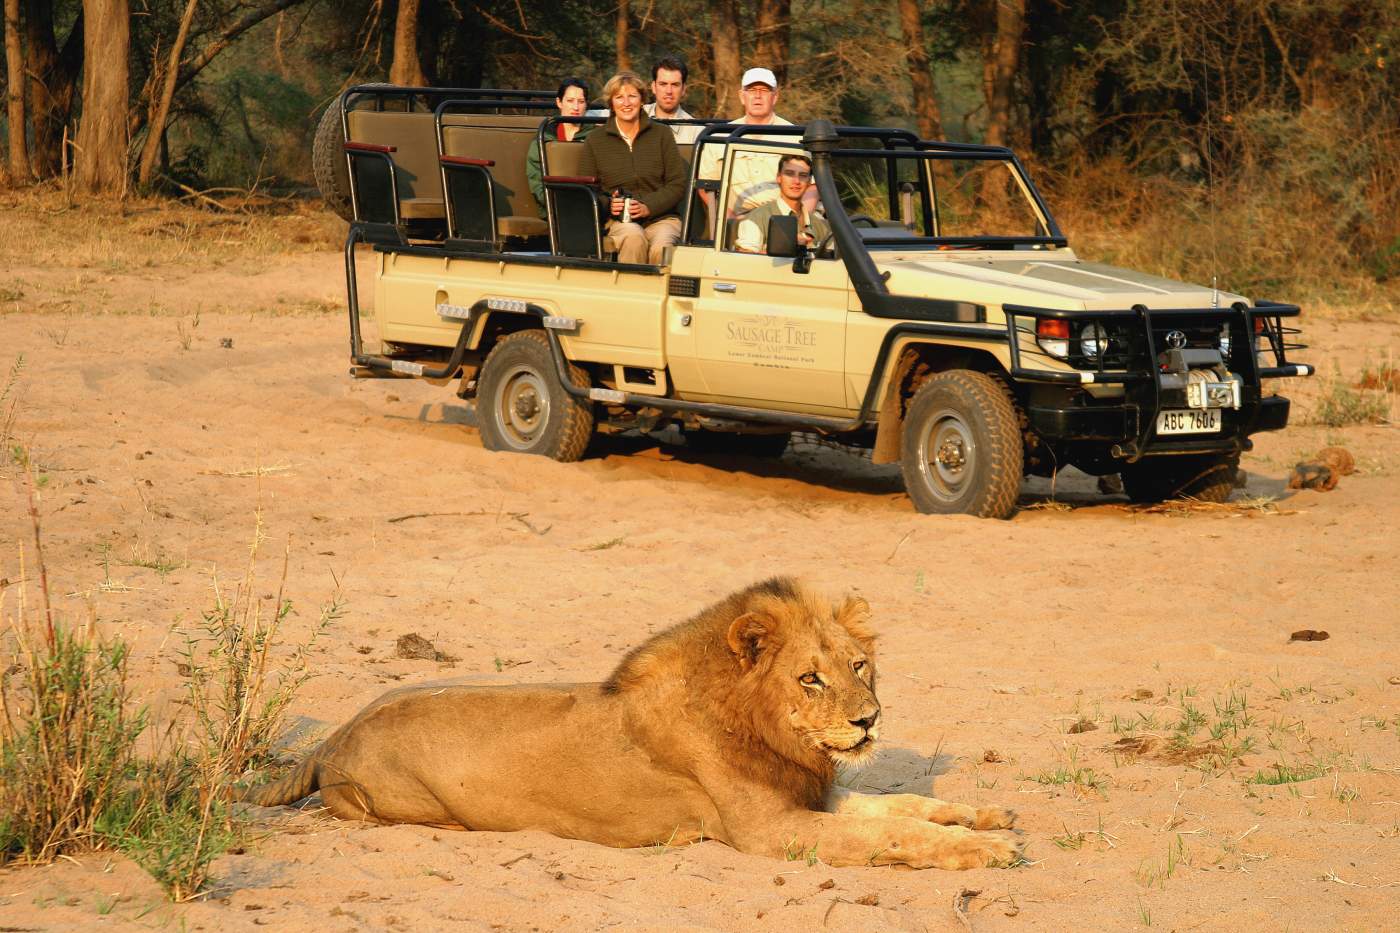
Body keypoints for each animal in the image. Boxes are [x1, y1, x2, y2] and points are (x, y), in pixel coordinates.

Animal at [243, 574, 1019, 862]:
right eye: (810, 677)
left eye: (860, 666)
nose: (870, 721)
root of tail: (333, 734)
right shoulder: (769, 831)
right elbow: (895, 835)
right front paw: (984, 852)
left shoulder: (809, 796)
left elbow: (902, 805)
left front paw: (987, 818)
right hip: (389, 800)